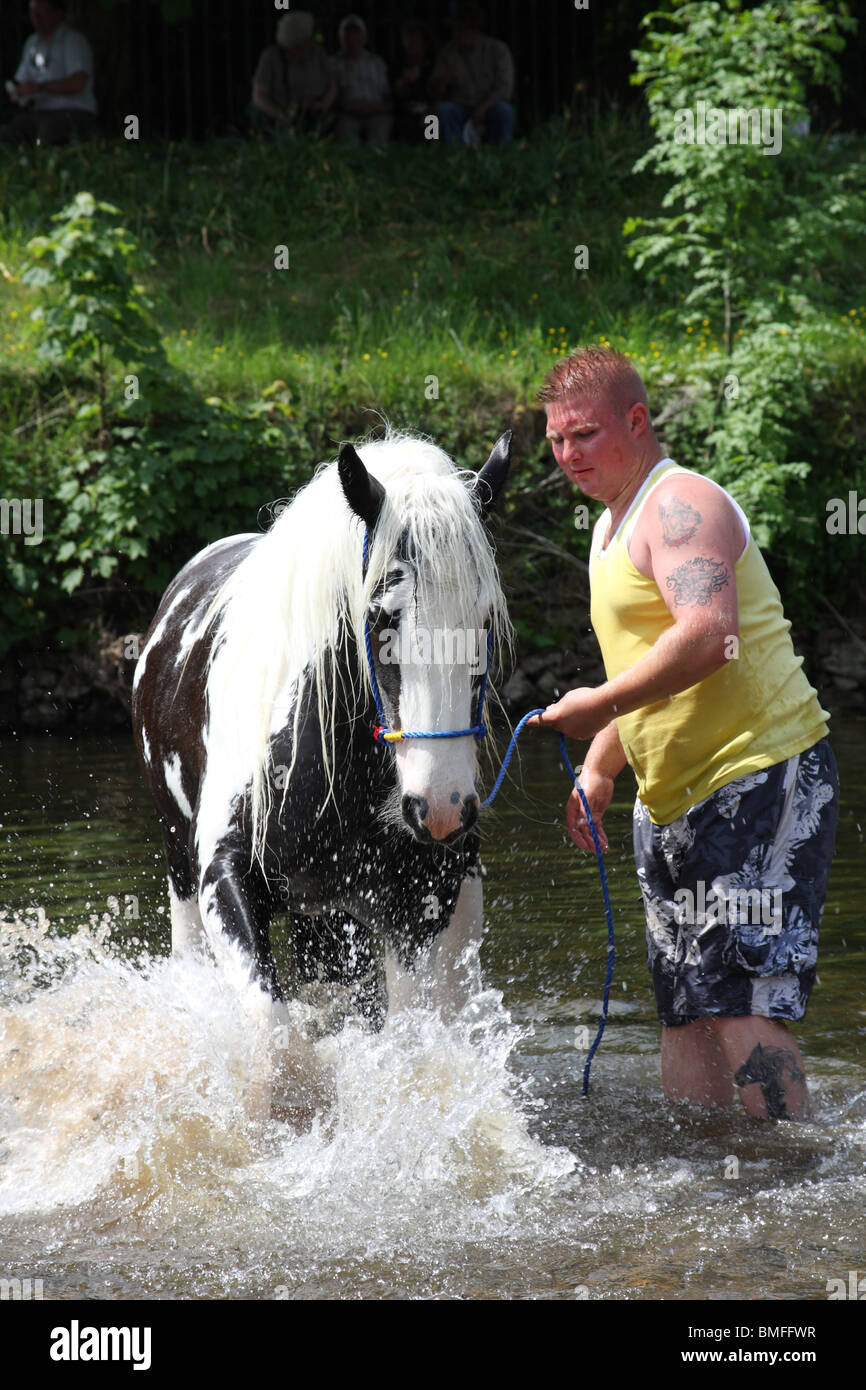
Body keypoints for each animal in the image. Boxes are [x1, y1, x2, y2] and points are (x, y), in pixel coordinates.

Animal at [132, 430, 511, 1034]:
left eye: (485, 620)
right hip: (182, 873)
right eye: (380, 618)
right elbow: (273, 1027)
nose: (440, 806)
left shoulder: (420, 902)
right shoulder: (224, 875)